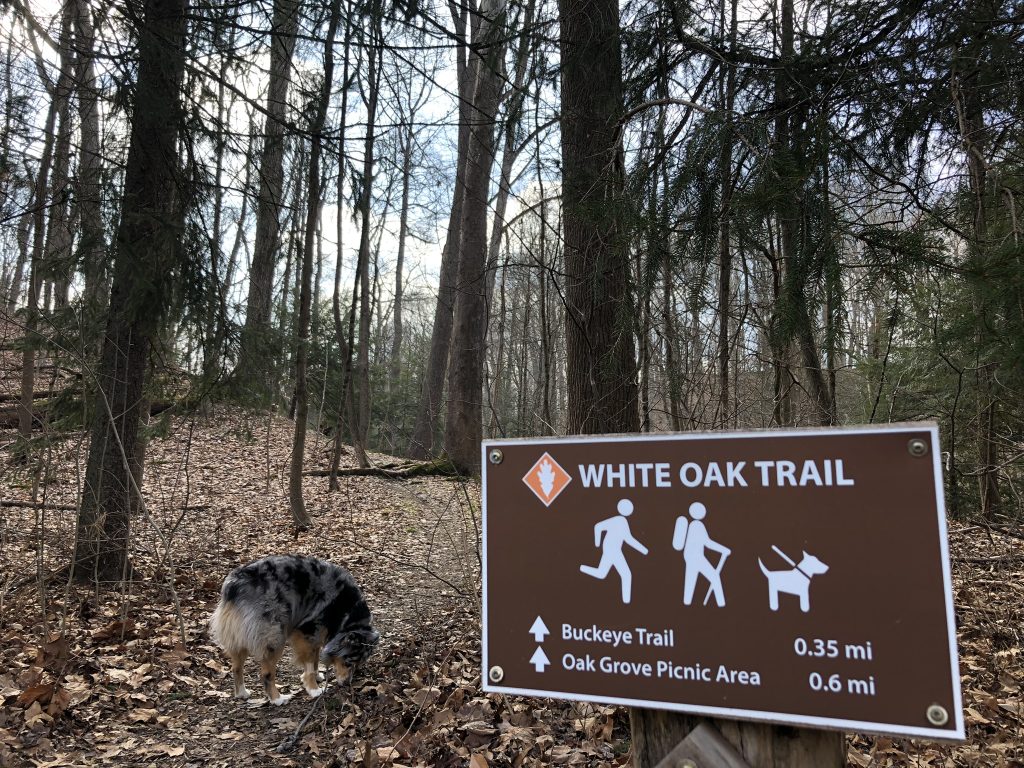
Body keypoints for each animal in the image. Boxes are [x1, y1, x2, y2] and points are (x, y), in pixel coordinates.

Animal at [208, 557, 380, 708]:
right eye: (348, 662)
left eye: (358, 665)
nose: (346, 684)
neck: (348, 614)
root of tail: (234, 585)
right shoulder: (306, 631)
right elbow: (309, 663)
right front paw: (313, 688)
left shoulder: (315, 635)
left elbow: (315, 658)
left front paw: (318, 676)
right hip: (275, 637)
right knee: (266, 673)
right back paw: (277, 699)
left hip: (238, 636)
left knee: (236, 667)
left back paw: (242, 693)